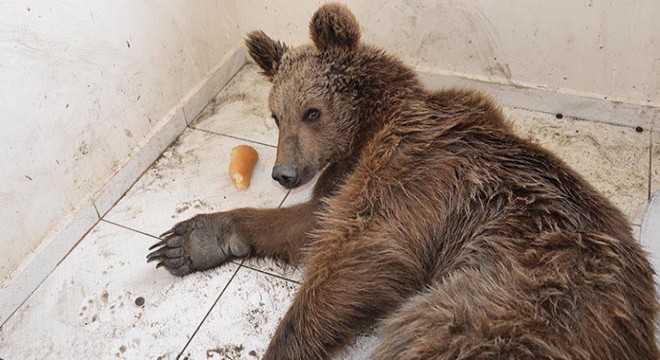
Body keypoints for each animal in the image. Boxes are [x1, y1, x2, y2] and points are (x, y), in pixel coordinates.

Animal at [147, 3, 656, 360]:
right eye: (275, 116)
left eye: (313, 111)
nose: (284, 173)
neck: (371, 126)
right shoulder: (355, 177)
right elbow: (313, 220)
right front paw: (189, 240)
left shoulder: (416, 171)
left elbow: (361, 252)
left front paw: (287, 341)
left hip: (512, 302)